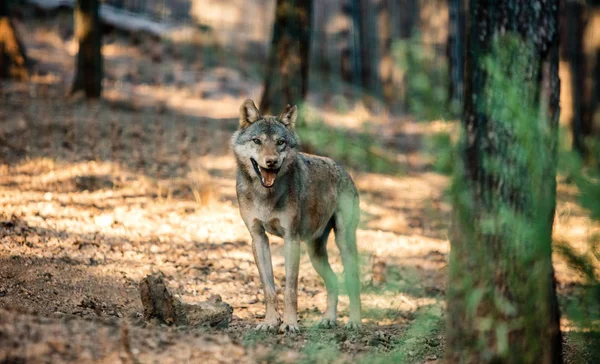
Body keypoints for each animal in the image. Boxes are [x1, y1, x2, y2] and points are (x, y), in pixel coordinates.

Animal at [231, 99, 360, 332]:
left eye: (280, 142)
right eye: (257, 141)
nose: (271, 161)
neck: (265, 195)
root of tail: (344, 169)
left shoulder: (291, 239)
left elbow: (290, 288)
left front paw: (290, 324)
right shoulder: (258, 238)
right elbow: (269, 289)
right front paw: (270, 322)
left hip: (343, 243)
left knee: (353, 281)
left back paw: (354, 321)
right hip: (315, 253)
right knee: (334, 281)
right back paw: (328, 319)